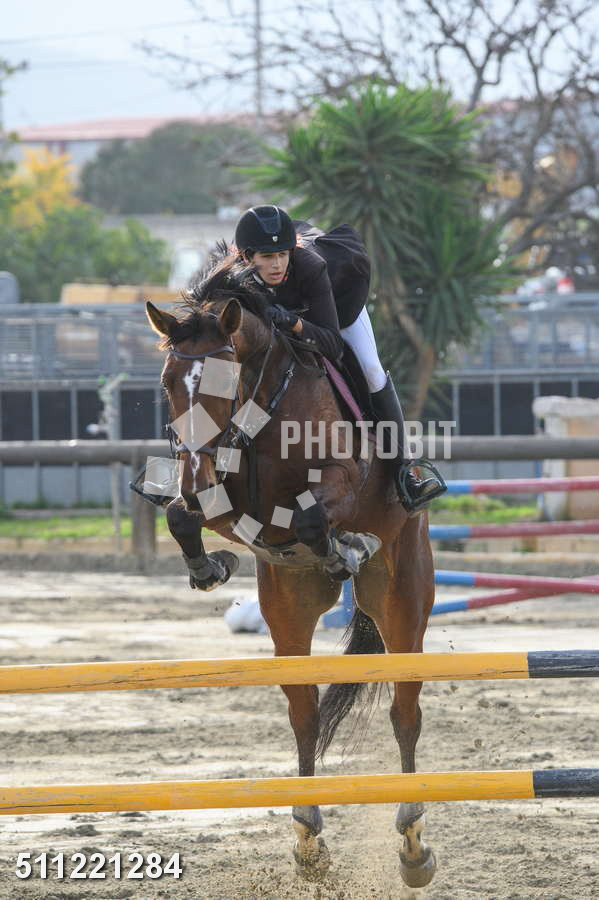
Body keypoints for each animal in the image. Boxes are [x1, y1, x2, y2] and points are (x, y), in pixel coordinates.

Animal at [145, 267, 437, 889]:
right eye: (168, 384)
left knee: (404, 712)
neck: (263, 406)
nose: (192, 478)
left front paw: (347, 545)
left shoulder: (342, 478)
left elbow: (310, 515)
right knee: (304, 715)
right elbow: (182, 517)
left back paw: (413, 843)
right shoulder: (227, 502)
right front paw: (210, 566)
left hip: (403, 601)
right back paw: (307, 840)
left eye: (224, 385)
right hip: (288, 611)